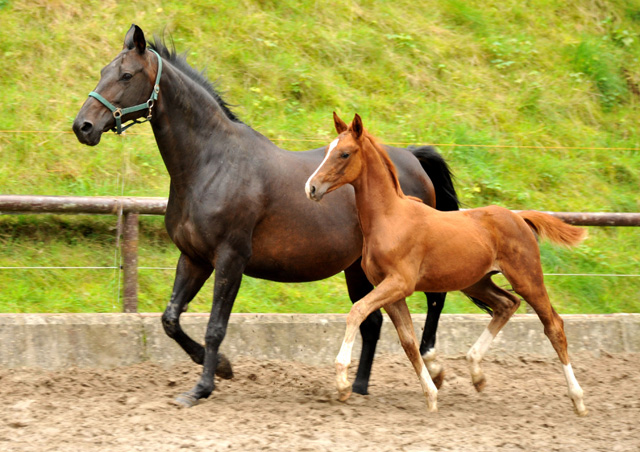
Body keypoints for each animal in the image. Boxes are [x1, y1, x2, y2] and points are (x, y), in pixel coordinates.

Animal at [72, 23, 478, 406]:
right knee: (373, 320)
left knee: (433, 300)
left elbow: (215, 326)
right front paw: (223, 368)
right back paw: (359, 388)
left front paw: (203, 387)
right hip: (358, 267)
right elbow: (171, 319)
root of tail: (412, 158)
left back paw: (432, 365)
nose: (83, 127)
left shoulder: (230, 258)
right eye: (103, 71)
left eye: (126, 75)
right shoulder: (194, 258)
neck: (211, 164)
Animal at [308, 113, 588, 416]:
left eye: (345, 153)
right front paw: (431, 395)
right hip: (476, 282)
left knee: (553, 326)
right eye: (327, 150)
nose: (311, 187)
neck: (390, 218)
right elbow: (408, 341)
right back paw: (476, 372)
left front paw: (343, 382)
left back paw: (578, 399)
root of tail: (519, 217)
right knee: (506, 304)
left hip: (527, 278)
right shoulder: (391, 291)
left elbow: (357, 311)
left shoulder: (399, 284)